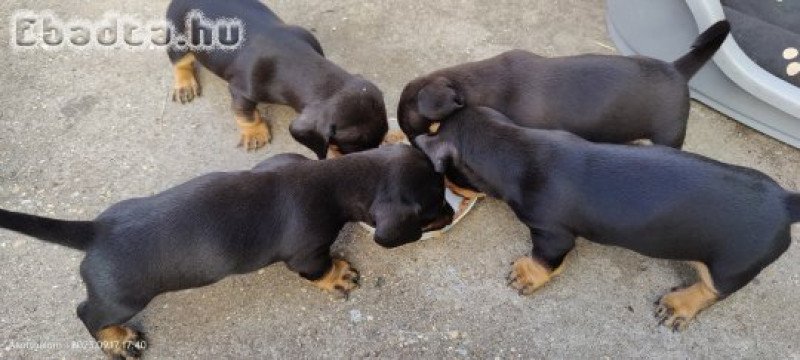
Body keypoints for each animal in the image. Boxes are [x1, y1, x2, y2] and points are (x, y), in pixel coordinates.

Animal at [0, 145, 450, 358]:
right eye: (432, 212)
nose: (448, 215)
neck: (333, 179)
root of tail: (95, 232)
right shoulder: (306, 253)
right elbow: (318, 270)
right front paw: (338, 276)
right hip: (122, 298)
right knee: (86, 314)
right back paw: (118, 341)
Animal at [170, 0, 390, 156]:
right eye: (351, 143)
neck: (295, 59)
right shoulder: (241, 91)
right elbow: (245, 114)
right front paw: (254, 133)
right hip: (179, 40)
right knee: (180, 62)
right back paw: (184, 84)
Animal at [416, 107, 796, 332]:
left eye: (445, 174)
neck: (516, 149)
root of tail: (785, 202)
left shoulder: (551, 233)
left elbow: (544, 259)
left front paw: (526, 275)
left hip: (729, 268)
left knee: (711, 291)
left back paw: (680, 305)